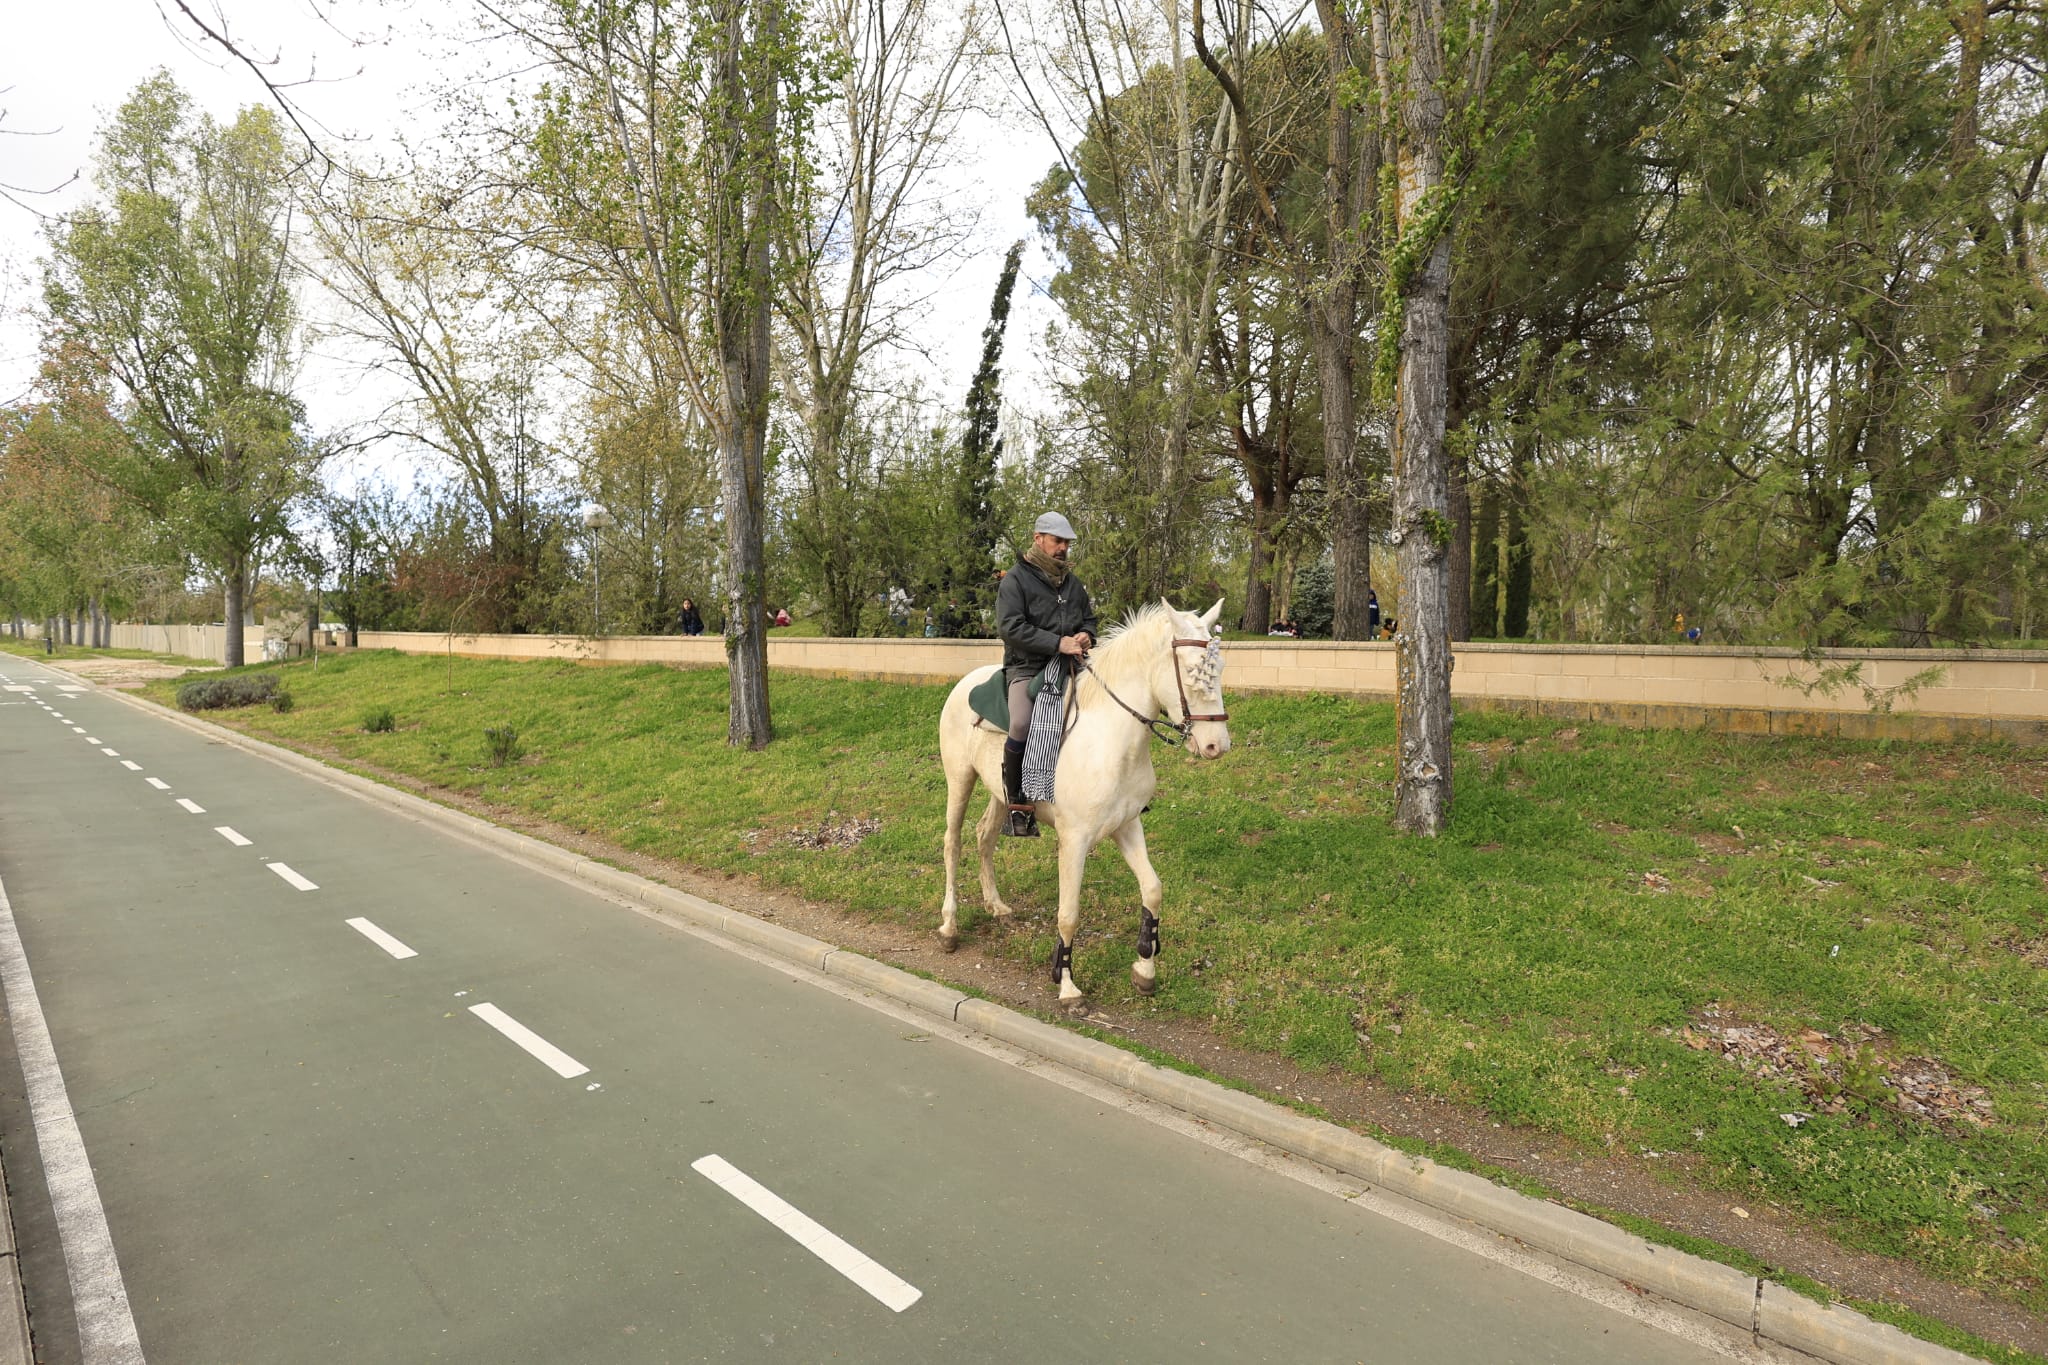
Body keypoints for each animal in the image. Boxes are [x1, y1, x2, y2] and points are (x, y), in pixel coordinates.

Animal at [937, 601, 1228, 1010]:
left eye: (1219, 668)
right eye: (1192, 671)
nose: (1218, 745)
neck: (1109, 741)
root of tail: (966, 683)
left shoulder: (1127, 826)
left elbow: (1153, 890)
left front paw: (1145, 969)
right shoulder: (1074, 840)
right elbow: (1069, 914)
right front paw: (1067, 985)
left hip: (1000, 793)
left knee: (984, 837)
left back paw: (996, 906)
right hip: (960, 779)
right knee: (953, 843)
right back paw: (949, 926)